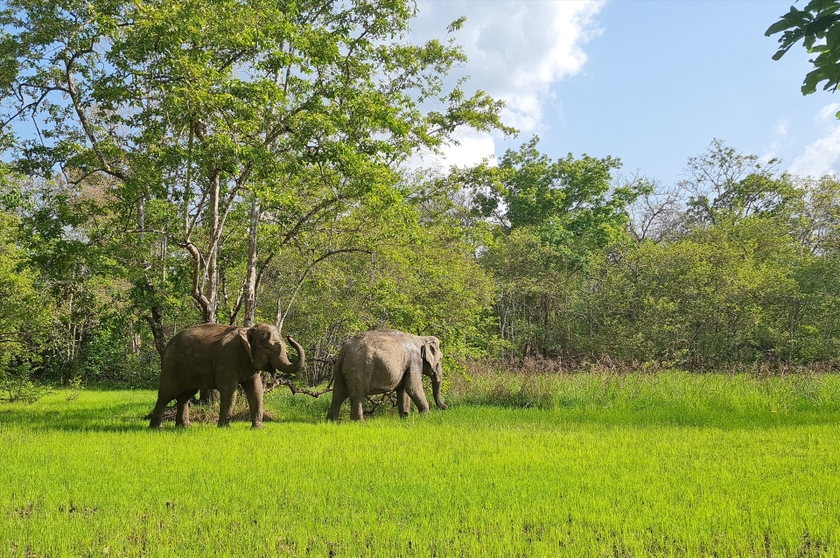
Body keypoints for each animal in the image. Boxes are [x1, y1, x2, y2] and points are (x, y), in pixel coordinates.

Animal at [148, 322, 306, 430]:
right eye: (268, 348)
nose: (290, 336)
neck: (247, 329)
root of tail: (168, 345)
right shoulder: (227, 358)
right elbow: (229, 390)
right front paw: (225, 427)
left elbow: (256, 390)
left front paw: (258, 428)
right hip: (171, 367)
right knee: (166, 394)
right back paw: (156, 428)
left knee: (185, 396)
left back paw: (185, 427)